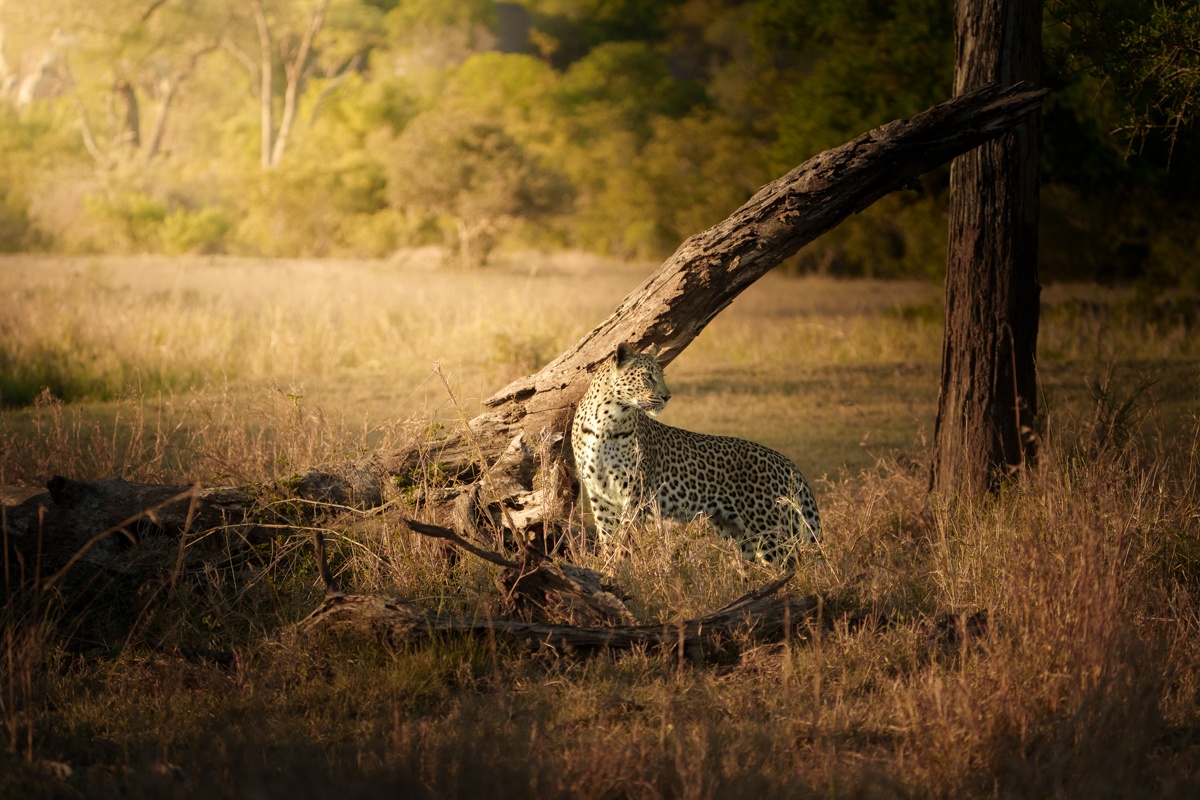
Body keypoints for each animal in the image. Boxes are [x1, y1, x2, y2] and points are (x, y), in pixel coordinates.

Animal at [570, 343, 820, 564]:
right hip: (738, 531)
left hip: (769, 528)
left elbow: (625, 540)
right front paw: (609, 569)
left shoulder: (636, 494)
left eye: (661, 376)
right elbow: (609, 540)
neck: (605, 420)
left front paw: (619, 573)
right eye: (647, 376)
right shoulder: (600, 495)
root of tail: (786, 462)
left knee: (796, 565)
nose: (667, 397)